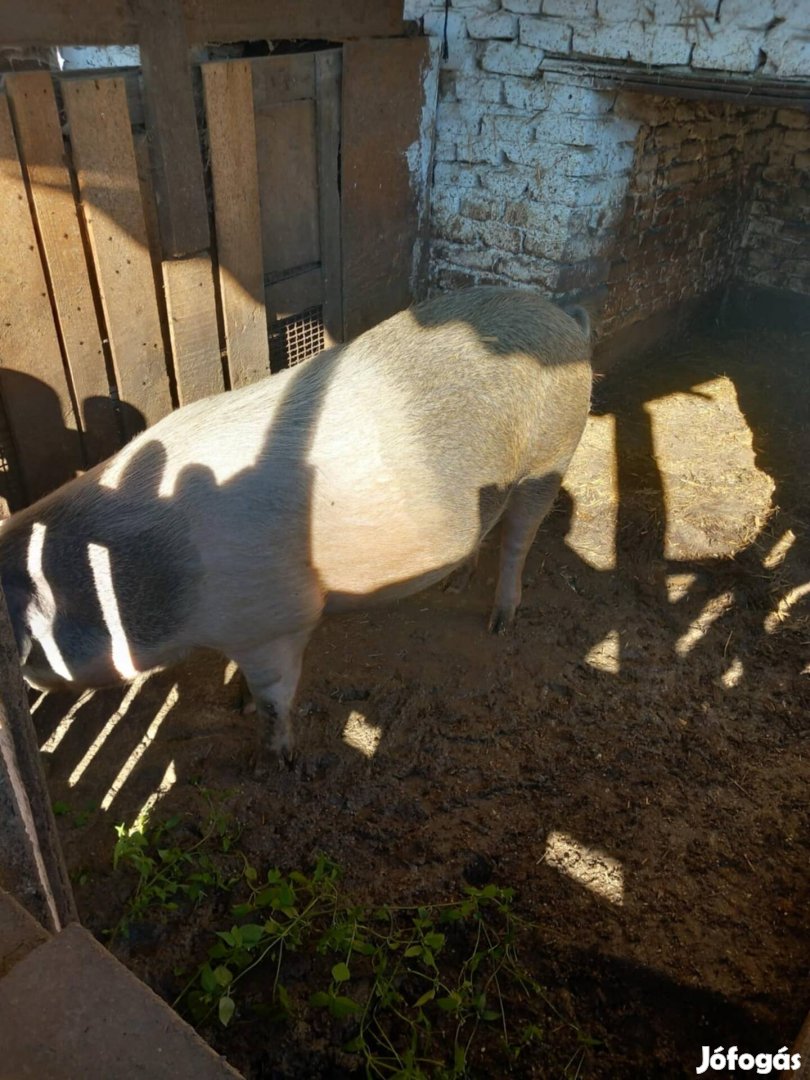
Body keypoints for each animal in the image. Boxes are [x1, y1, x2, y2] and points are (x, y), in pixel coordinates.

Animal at [0, 282, 596, 764]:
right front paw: (239, 706)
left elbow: (275, 697)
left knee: (519, 542)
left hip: (553, 456)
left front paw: (270, 758)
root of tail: (563, 315)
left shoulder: (275, 622)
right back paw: (454, 584)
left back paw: (500, 623)